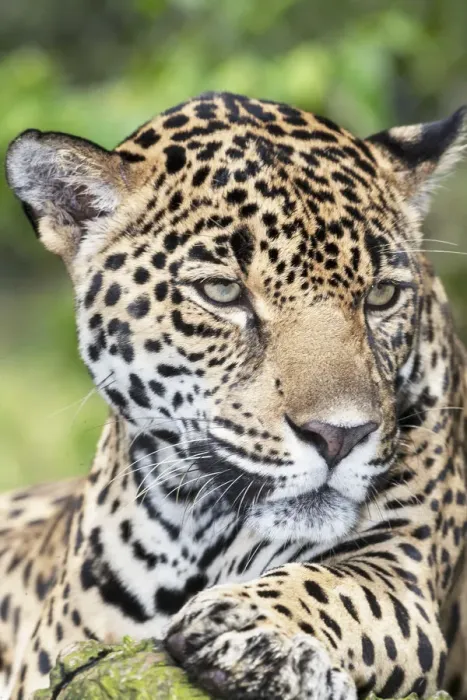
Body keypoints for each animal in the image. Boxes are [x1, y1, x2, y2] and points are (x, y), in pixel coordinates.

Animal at [2, 90, 467, 699]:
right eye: (222, 292)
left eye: (382, 296)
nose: (339, 437)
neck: (197, 537)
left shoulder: (401, 566)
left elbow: (337, 587)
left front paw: (250, 629)